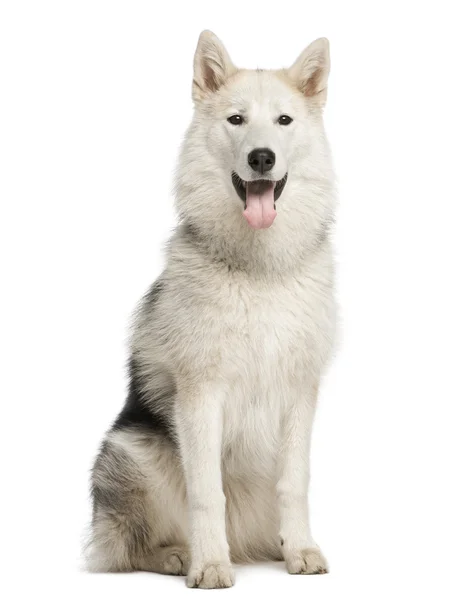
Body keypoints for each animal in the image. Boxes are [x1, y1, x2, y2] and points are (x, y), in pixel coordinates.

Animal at [87, 30, 336, 588]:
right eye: (236, 120)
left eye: (284, 120)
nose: (262, 157)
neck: (259, 271)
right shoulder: (202, 394)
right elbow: (206, 494)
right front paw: (209, 564)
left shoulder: (300, 393)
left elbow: (296, 484)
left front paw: (301, 550)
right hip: (135, 453)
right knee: (124, 548)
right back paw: (178, 555)